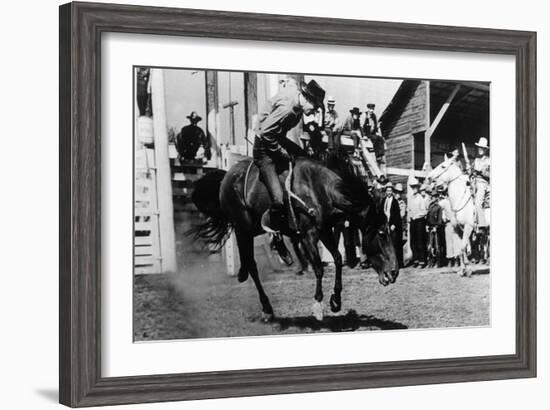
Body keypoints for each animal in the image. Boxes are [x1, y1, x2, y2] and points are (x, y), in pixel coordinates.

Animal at [192, 157, 398, 320]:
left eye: (391, 229)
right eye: (382, 233)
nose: (394, 272)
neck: (319, 190)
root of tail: (227, 177)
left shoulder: (324, 231)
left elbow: (338, 259)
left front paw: (336, 301)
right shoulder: (308, 235)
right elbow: (318, 267)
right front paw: (318, 305)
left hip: (252, 229)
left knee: (250, 259)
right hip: (243, 228)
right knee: (251, 264)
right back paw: (266, 307)